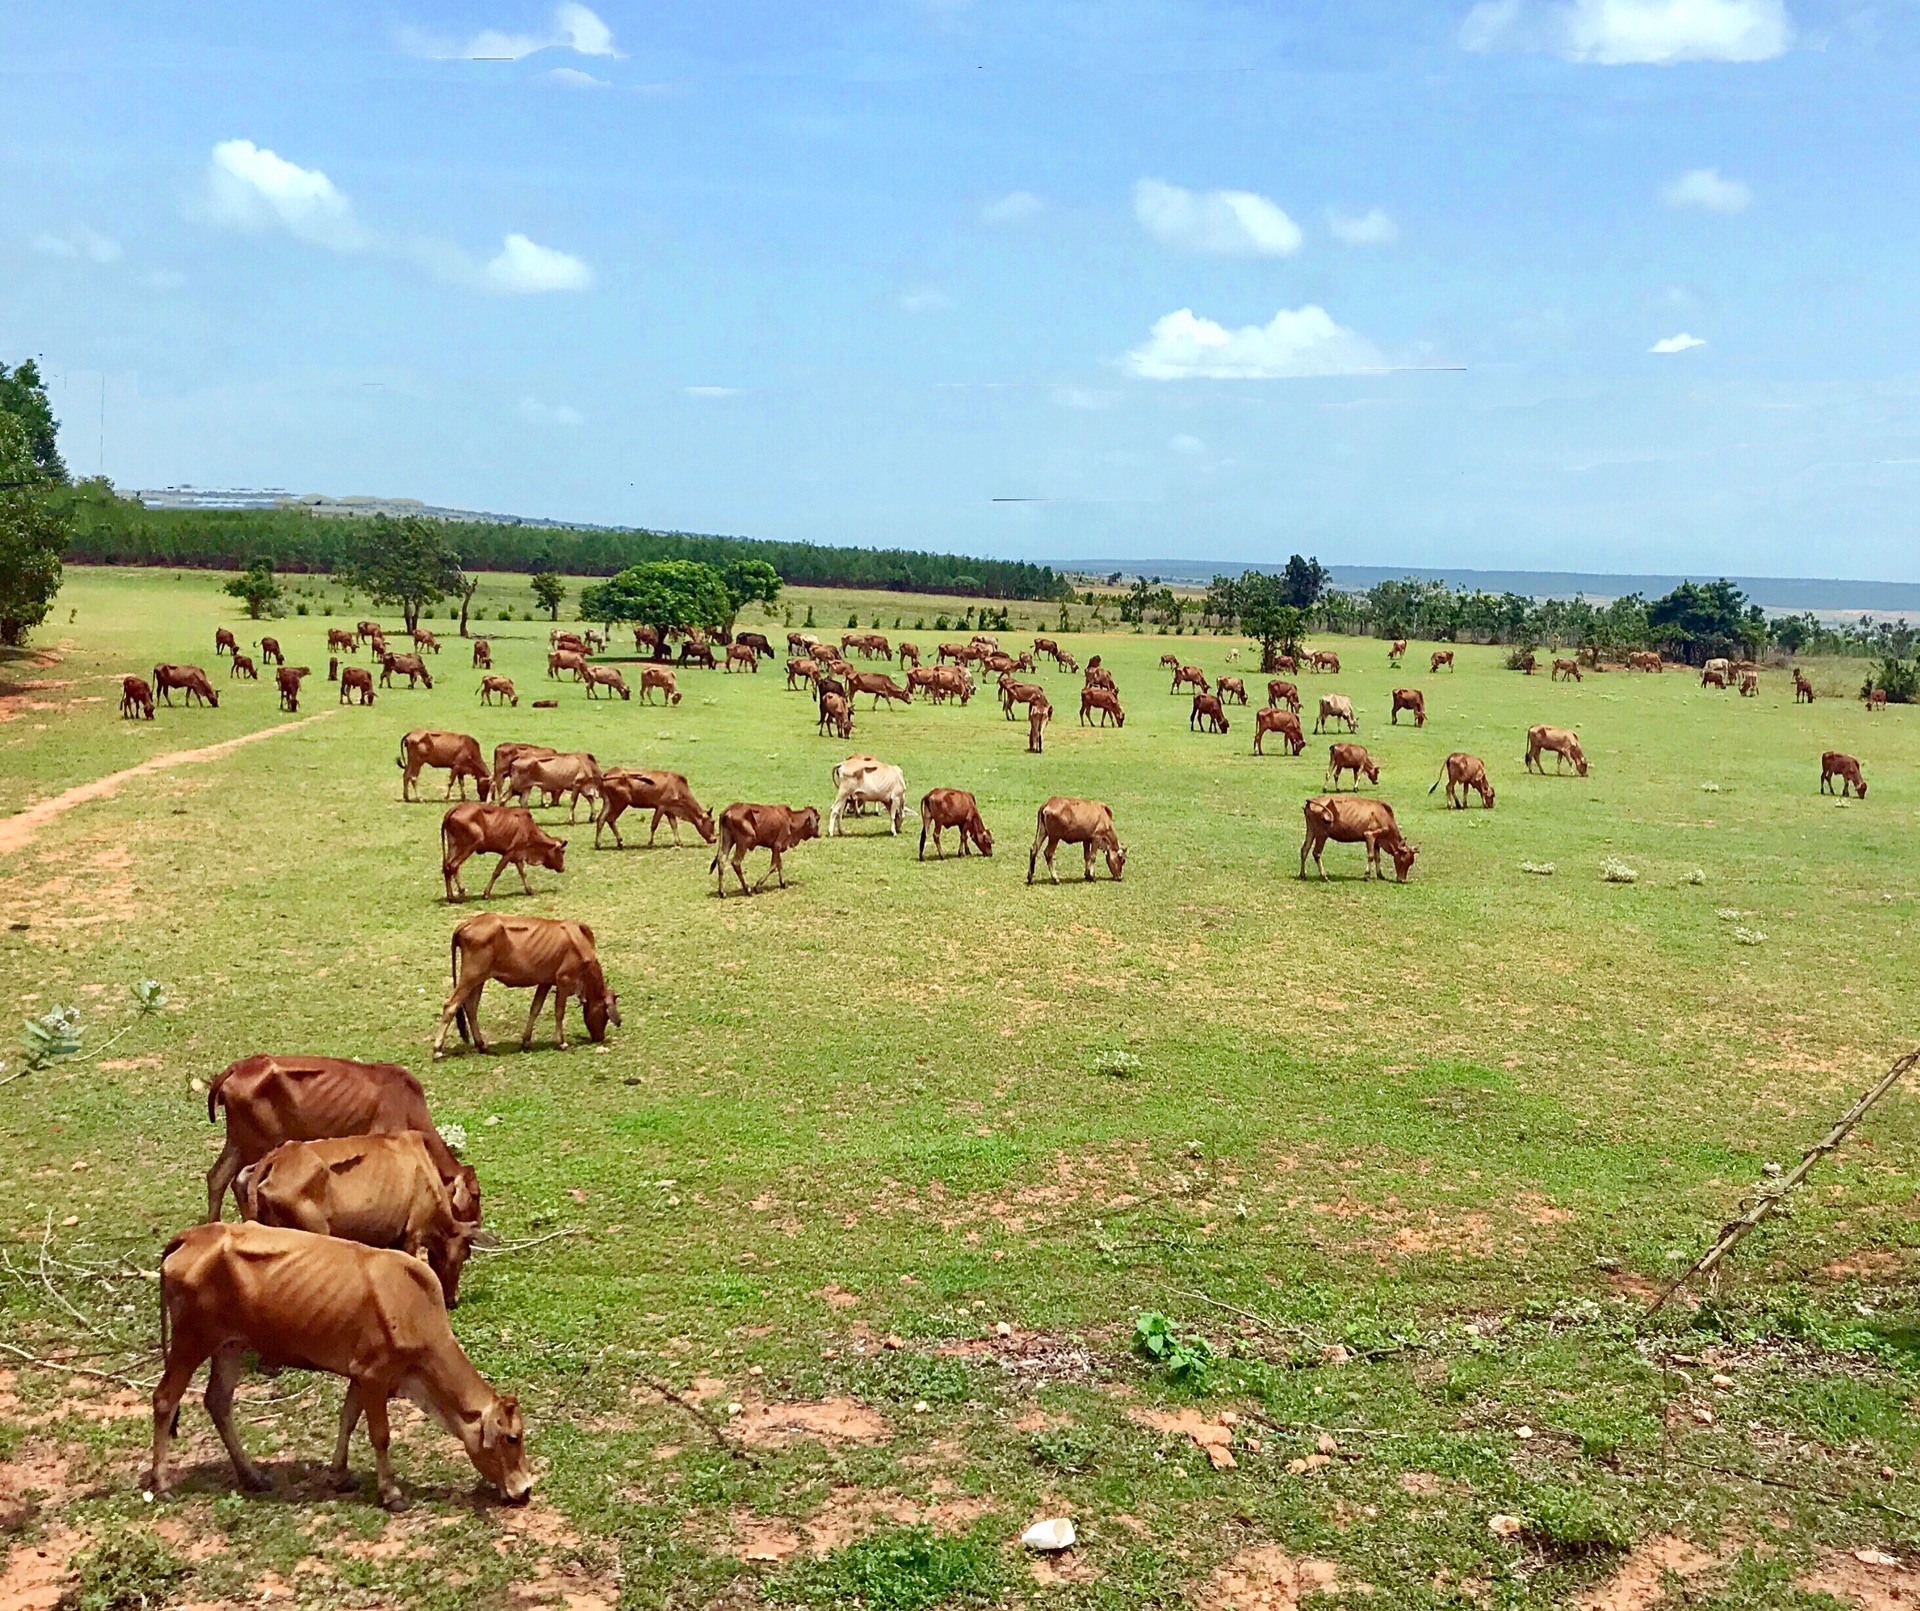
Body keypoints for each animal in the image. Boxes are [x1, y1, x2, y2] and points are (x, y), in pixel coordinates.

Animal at [147, 1221, 533, 1513]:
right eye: (512, 1438)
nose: (526, 1489)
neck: (413, 1308)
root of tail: (193, 1235)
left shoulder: (360, 1374)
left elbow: (347, 1419)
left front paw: (339, 1474)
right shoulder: (374, 1375)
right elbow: (380, 1435)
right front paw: (390, 1493)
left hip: (230, 1346)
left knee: (218, 1401)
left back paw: (252, 1476)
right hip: (191, 1341)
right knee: (165, 1399)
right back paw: (162, 1482)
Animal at [203, 1052, 476, 1228]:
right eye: (475, 1195)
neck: (409, 1103)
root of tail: (238, 1068)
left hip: (239, 1141)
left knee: (218, 1177)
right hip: (256, 1144)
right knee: (237, 1181)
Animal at [433, 906, 614, 1059]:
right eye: (605, 1015)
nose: (599, 1037)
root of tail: (466, 923)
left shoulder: (545, 982)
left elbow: (535, 1008)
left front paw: (526, 1041)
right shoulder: (564, 979)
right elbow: (559, 1011)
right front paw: (561, 1042)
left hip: (479, 979)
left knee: (471, 1008)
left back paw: (482, 1045)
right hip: (471, 975)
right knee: (451, 1006)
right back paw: (437, 1050)